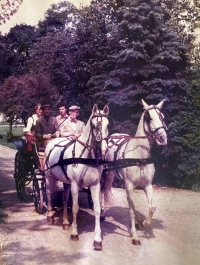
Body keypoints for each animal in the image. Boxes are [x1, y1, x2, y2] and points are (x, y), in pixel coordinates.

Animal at [43, 104, 109, 249]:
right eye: (95, 125)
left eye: (108, 124)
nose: (104, 148)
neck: (86, 157)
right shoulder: (75, 184)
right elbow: (75, 207)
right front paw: (74, 233)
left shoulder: (95, 185)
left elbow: (97, 209)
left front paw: (97, 239)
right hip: (49, 176)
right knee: (49, 192)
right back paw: (50, 215)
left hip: (66, 182)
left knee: (64, 198)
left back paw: (65, 222)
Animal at [102, 98, 168, 243]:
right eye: (149, 117)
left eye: (162, 116)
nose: (163, 138)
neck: (139, 158)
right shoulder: (129, 186)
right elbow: (131, 210)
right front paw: (134, 235)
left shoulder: (147, 185)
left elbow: (152, 207)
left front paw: (144, 223)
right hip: (105, 172)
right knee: (101, 192)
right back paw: (102, 212)